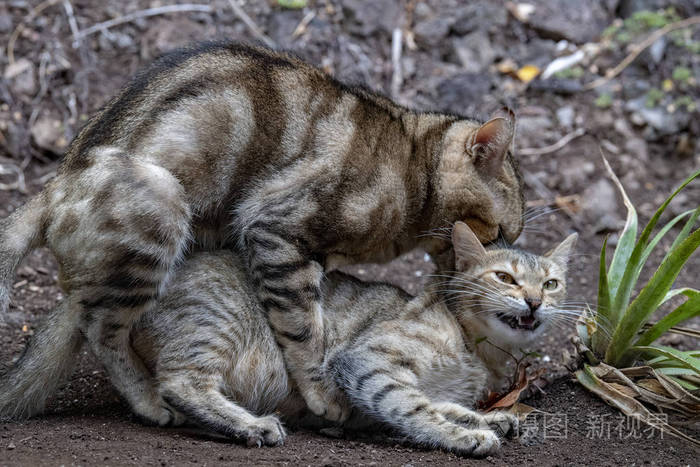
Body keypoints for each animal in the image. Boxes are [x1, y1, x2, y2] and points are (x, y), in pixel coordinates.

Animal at [0, 42, 524, 426]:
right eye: (498, 231)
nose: (488, 262)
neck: (412, 166)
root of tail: (53, 186)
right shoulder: (275, 230)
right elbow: (304, 328)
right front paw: (322, 394)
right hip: (162, 206)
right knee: (104, 330)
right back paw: (151, 402)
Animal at [0, 223, 576, 458]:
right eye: (505, 278)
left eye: (551, 283)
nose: (534, 301)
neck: (479, 352)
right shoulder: (365, 362)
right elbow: (415, 407)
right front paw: (465, 435)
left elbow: (444, 403)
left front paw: (489, 417)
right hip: (220, 321)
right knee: (178, 383)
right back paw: (250, 425)